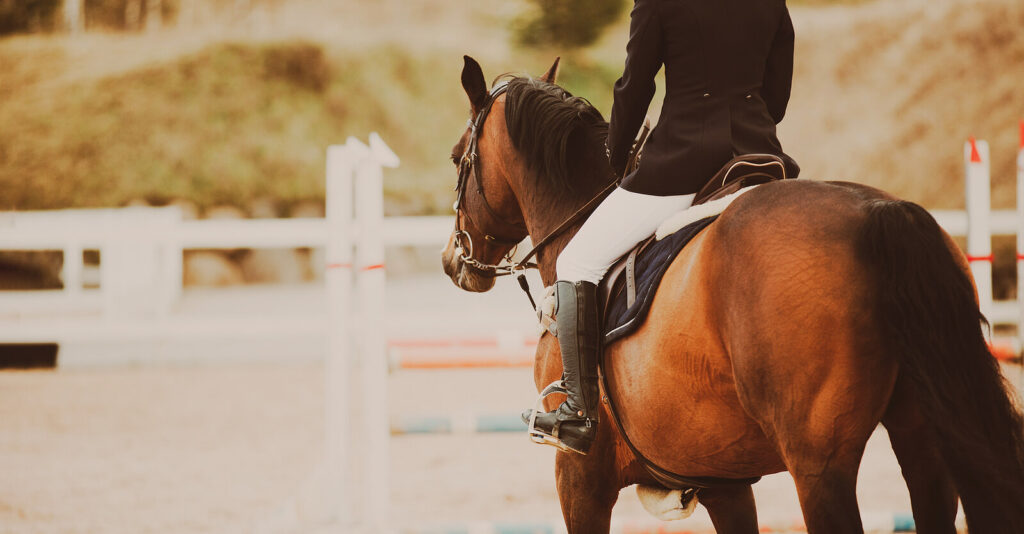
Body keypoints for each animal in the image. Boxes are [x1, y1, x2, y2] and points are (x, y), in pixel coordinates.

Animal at [440, 55, 1024, 532]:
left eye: (455, 157)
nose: (454, 260)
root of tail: (879, 211)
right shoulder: (723, 481)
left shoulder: (579, 476)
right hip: (923, 445)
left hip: (819, 466)